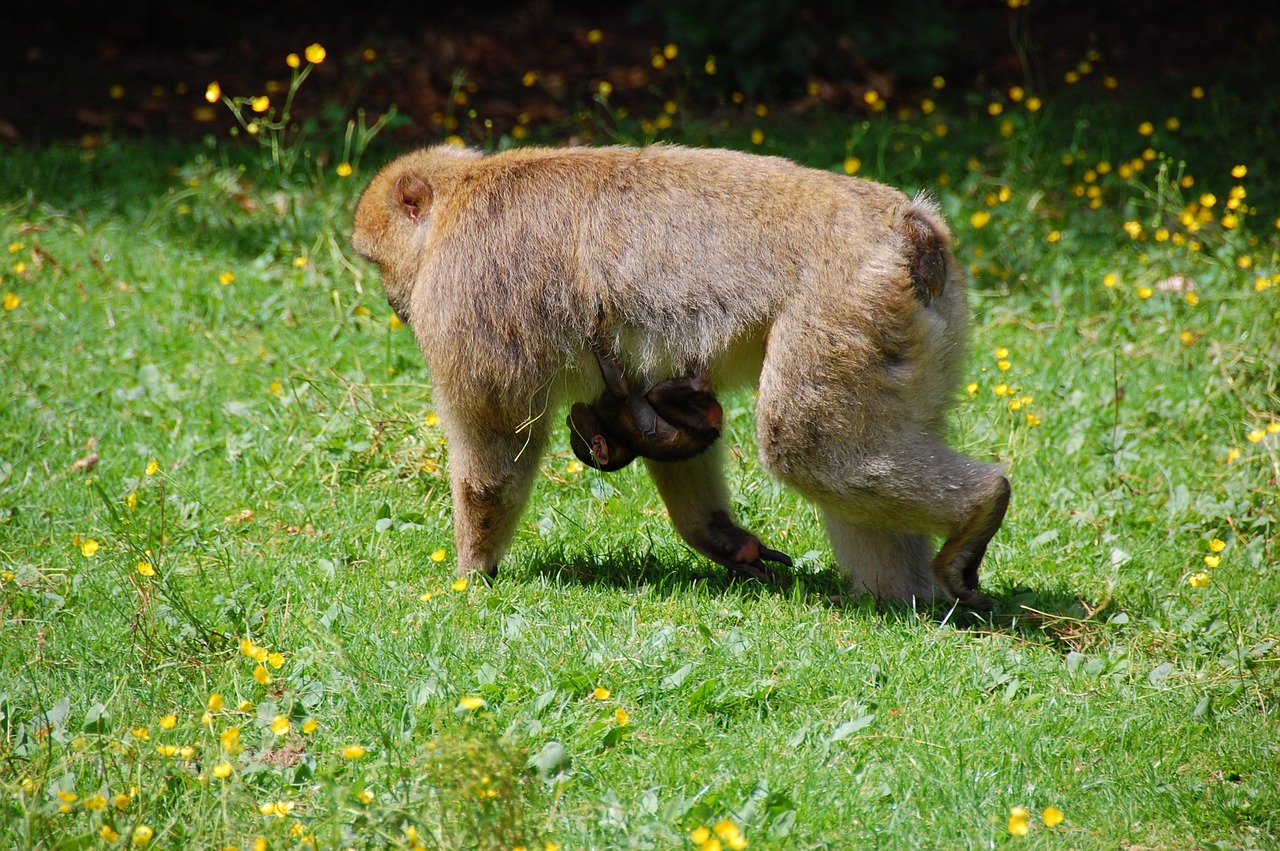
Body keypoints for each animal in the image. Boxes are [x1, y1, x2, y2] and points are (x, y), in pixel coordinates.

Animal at [568, 337, 721, 470]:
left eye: (571, 428)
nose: (569, 419)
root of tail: (713, 430)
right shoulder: (607, 406)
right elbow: (621, 389)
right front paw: (594, 335)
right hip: (697, 421)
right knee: (657, 394)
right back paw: (701, 377)